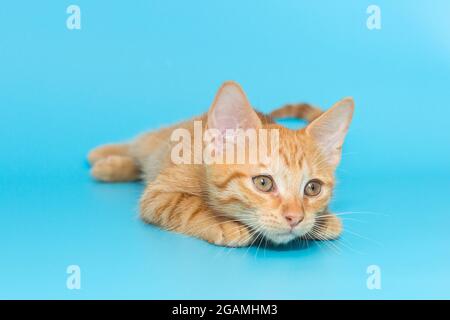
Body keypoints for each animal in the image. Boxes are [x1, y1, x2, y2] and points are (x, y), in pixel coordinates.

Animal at [88, 81, 356, 246]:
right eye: (263, 183)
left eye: (313, 188)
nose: (295, 218)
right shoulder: (158, 195)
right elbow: (189, 204)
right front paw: (223, 222)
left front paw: (324, 220)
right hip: (159, 143)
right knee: (138, 146)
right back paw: (104, 159)